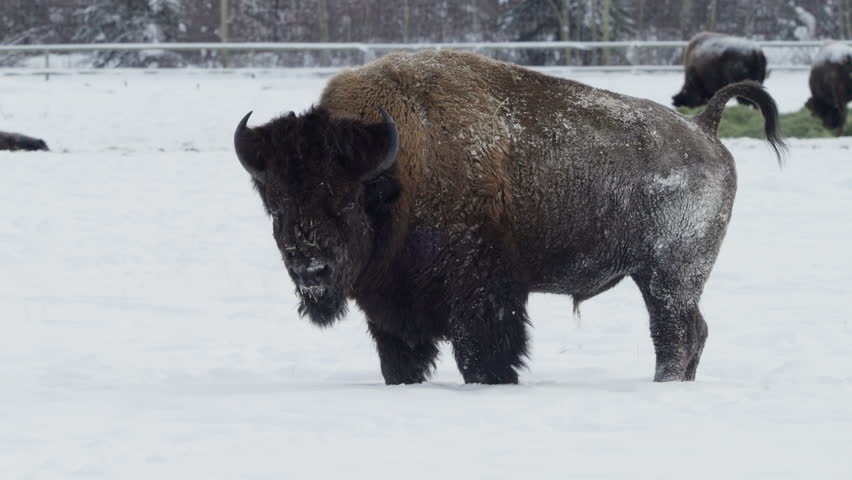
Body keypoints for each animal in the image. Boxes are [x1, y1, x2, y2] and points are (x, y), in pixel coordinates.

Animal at [234, 50, 785, 384]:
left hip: (668, 277)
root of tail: (705, 128)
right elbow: (400, 361)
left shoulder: (483, 298)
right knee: (693, 333)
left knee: (673, 335)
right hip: (665, 279)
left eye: (347, 200)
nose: (311, 267)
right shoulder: (389, 311)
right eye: (276, 204)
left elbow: (482, 356)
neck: (400, 169)